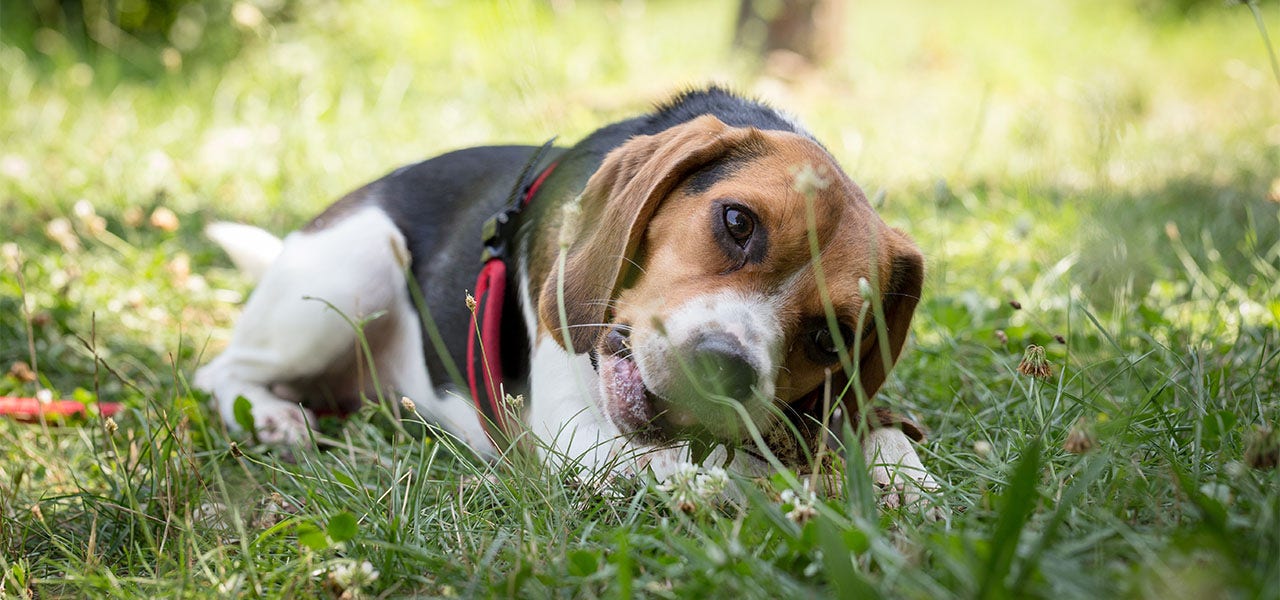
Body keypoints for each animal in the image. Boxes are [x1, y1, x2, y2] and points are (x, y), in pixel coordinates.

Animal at [199, 86, 942, 504]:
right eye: (737, 221)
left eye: (829, 339)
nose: (724, 369)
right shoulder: (574, 435)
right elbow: (725, 475)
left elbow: (877, 436)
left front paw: (908, 483)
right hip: (354, 270)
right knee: (220, 371)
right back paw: (274, 417)